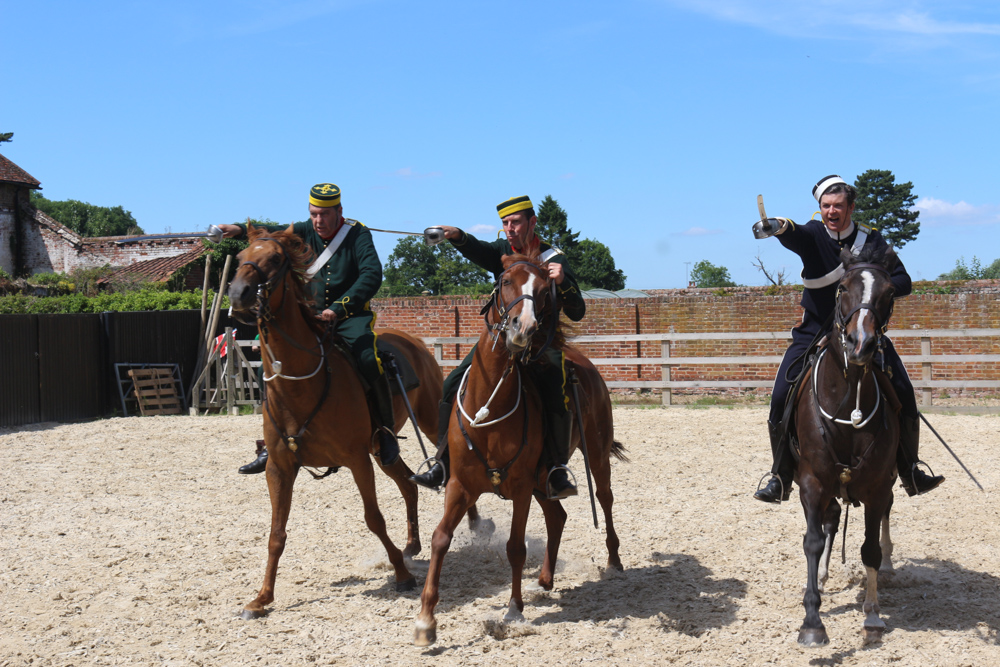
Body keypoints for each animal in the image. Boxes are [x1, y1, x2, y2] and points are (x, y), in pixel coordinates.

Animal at [230, 226, 446, 620]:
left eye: (275, 259)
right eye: (240, 259)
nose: (239, 294)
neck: (301, 384)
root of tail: (413, 341)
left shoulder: (357, 460)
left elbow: (374, 518)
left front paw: (402, 575)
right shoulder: (280, 468)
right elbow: (276, 532)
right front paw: (262, 598)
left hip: (426, 424)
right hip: (383, 450)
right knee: (408, 484)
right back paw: (411, 545)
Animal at [414, 254, 624, 648]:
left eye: (543, 290)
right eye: (506, 280)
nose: (522, 327)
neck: (490, 410)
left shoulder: (522, 488)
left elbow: (515, 547)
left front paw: (513, 609)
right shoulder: (461, 485)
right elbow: (440, 538)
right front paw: (425, 620)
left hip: (594, 456)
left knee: (604, 498)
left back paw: (614, 560)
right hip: (544, 481)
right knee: (557, 517)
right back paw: (545, 579)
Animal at [792, 245, 904, 648]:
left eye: (890, 293)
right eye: (842, 288)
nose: (861, 344)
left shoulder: (876, 485)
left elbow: (869, 547)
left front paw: (871, 615)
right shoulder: (812, 482)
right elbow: (812, 540)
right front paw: (812, 620)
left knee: (884, 519)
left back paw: (887, 567)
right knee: (830, 520)